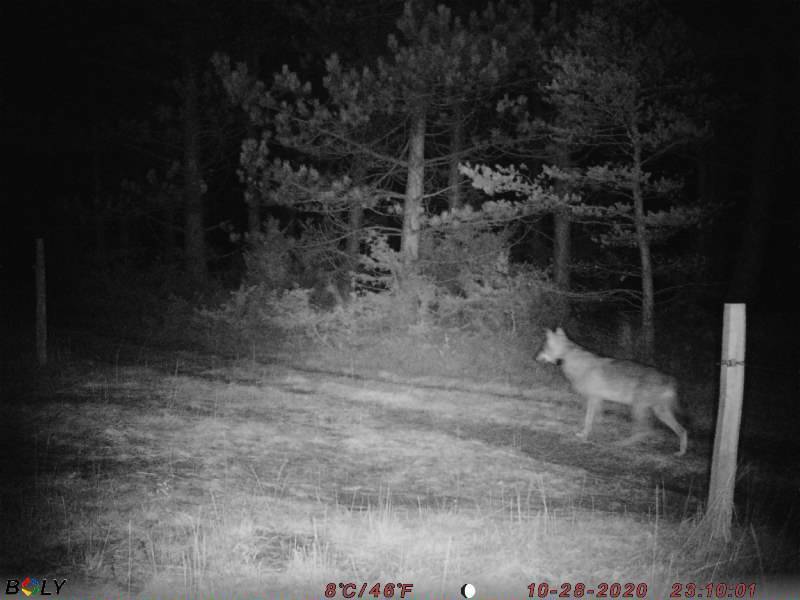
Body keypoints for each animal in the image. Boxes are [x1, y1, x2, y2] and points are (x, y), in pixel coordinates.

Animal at [536, 327, 688, 456]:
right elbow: (598, 419)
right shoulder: (599, 399)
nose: (535, 357)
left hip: (638, 408)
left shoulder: (593, 398)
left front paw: (583, 435)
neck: (575, 362)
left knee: (646, 430)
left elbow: (588, 420)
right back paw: (680, 452)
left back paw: (621, 444)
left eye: (543, 348)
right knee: (682, 431)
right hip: (659, 412)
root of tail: (670, 378)